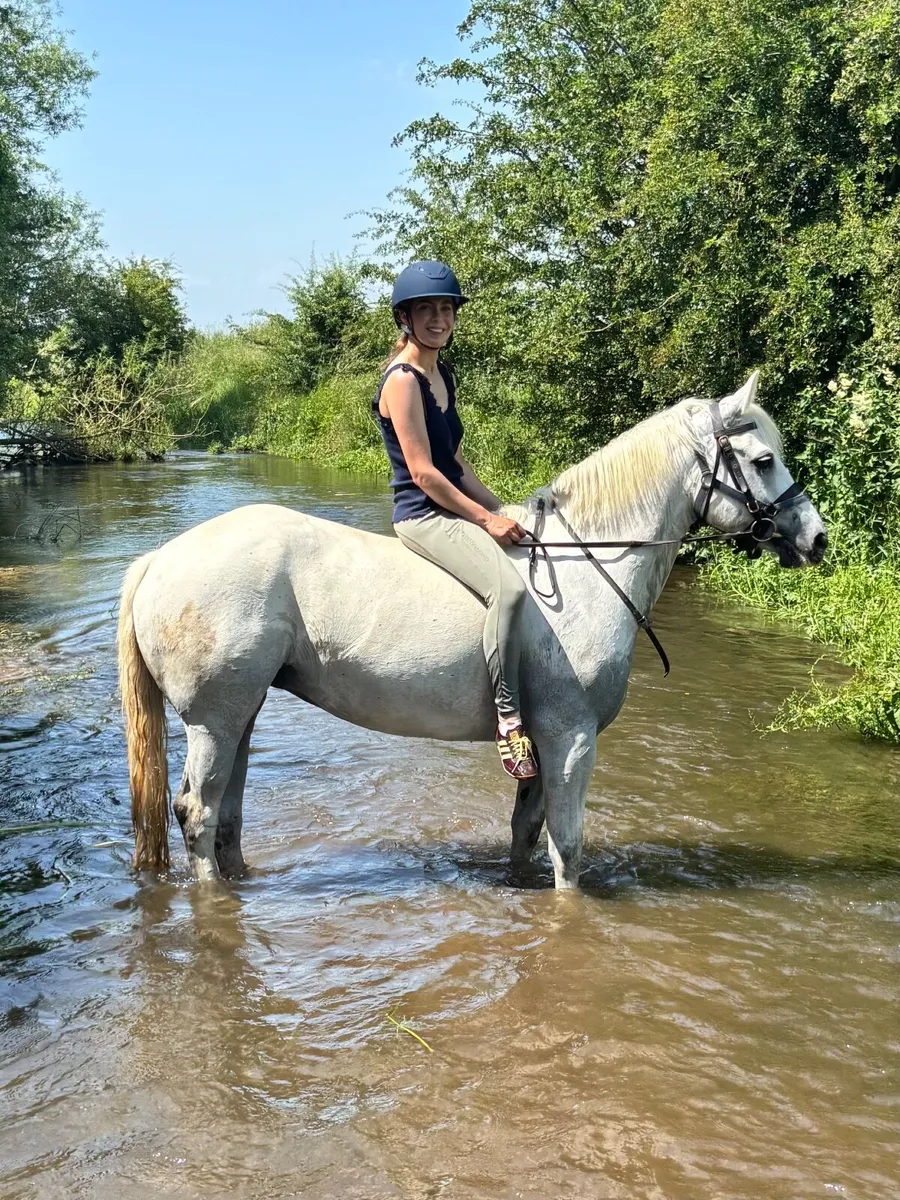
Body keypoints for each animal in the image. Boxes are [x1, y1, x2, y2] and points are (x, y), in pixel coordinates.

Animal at [117, 372, 827, 889]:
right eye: (764, 459)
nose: (816, 539)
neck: (590, 564)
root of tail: (159, 559)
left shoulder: (546, 740)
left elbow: (526, 833)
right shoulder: (571, 736)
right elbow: (568, 849)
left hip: (242, 711)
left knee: (227, 813)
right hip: (213, 719)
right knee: (199, 813)